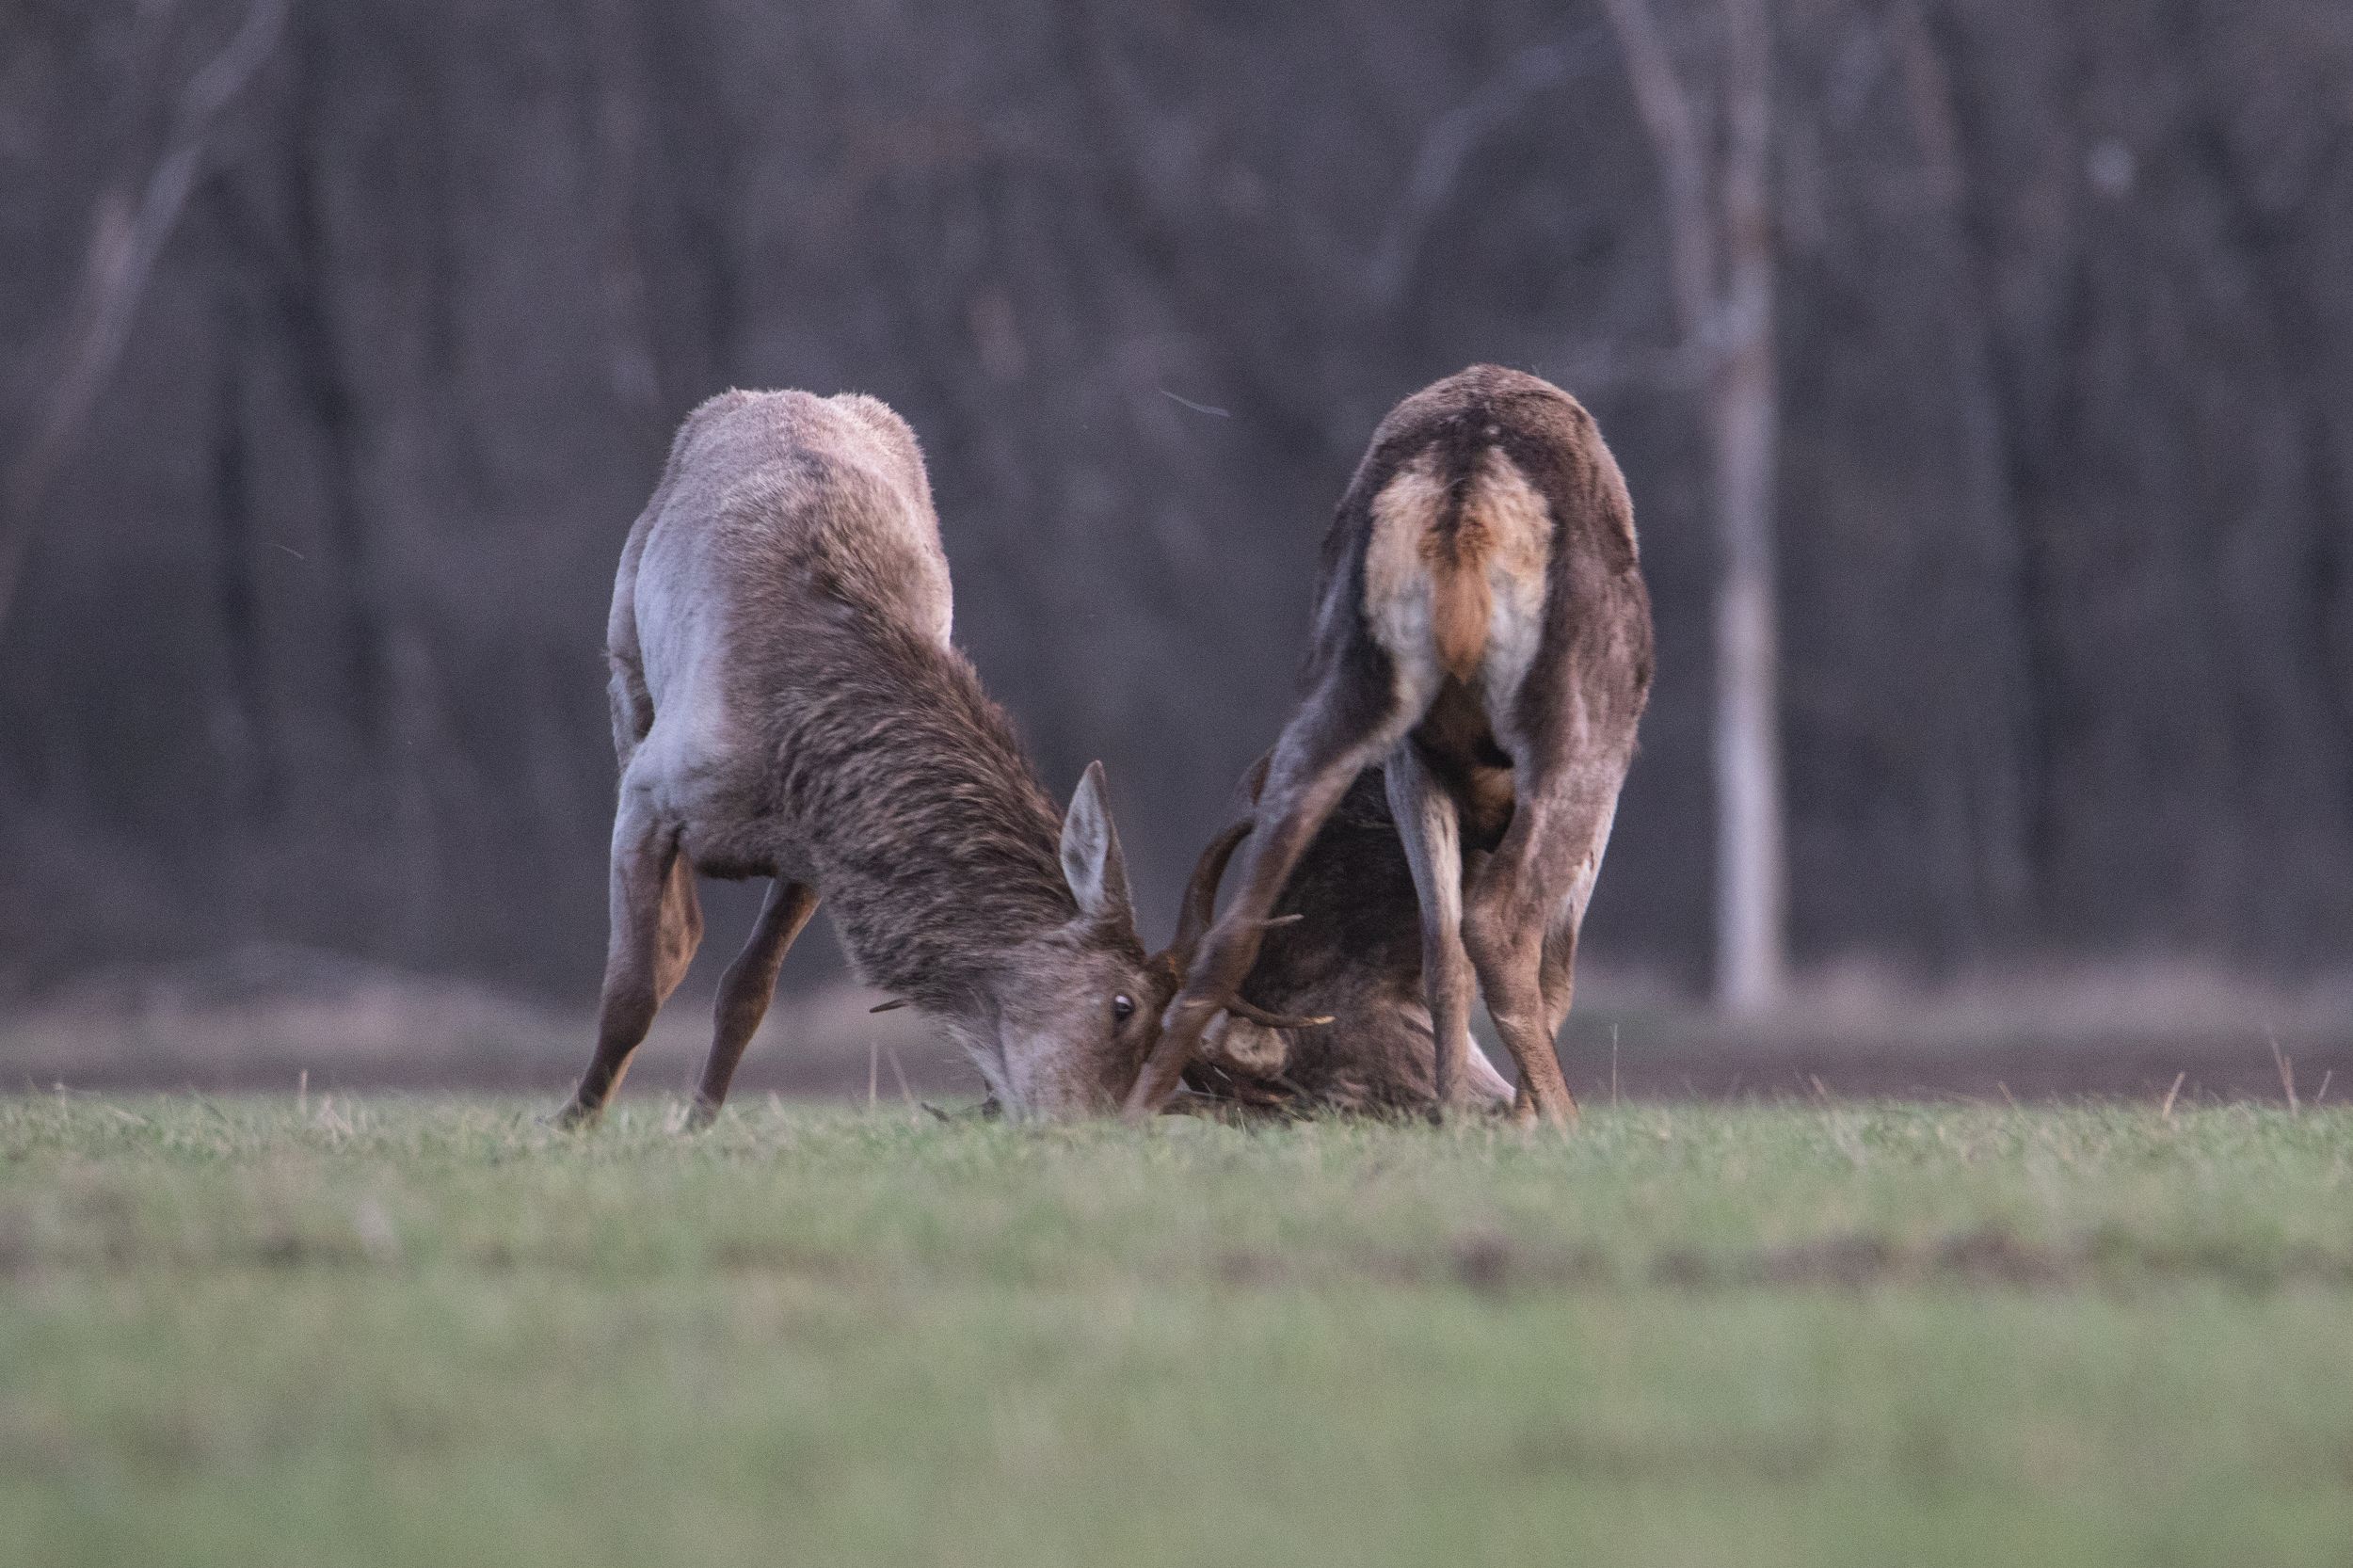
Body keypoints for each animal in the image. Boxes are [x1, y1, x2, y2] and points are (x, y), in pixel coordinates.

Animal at [552, 391, 1176, 1125]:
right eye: (1123, 1005)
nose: (1091, 1125)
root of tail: (769, 396)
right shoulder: (649, 795)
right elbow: (630, 993)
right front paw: (574, 1122)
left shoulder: (820, 854)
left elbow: (746, 995)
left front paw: (699, 1123)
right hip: (627, 669)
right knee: (672, 932)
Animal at [1125, 367, 1657, 1125]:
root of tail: (1461, 484)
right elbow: (1553, 969)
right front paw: (1515, 1118)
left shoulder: (1417, 767)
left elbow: (1440, 955)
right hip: (1582, 729)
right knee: (1500, 928)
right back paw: (1560, 1123)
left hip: (1342, 685)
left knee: (1239, 927)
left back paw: (1129, 1112)